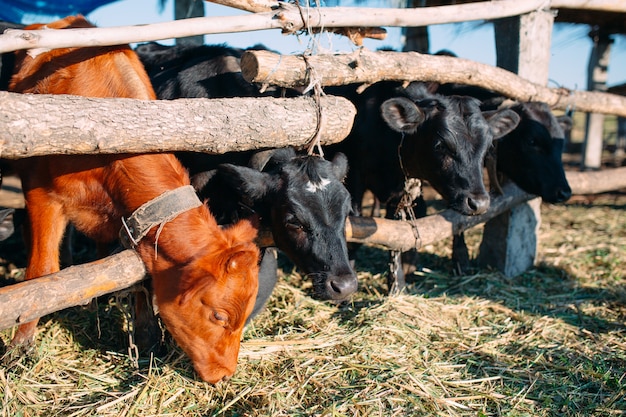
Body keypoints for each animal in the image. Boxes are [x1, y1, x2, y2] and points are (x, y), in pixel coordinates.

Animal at [7, 14, 256, 382]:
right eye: (219, 316)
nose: (226, 374)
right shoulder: (41, 193)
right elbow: (41, 272)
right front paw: (20, 346)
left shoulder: (128, 220)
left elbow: (136, 277)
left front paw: (147, 338)